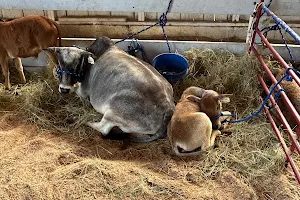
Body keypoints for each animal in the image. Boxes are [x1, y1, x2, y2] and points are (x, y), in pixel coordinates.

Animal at [45, 36, 175, 142]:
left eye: (77, 65)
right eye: (60, 64)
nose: (64, 89)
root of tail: (168, 108)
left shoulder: (83, 92)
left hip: (113, 112)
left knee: (103, 129)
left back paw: (78, 120)